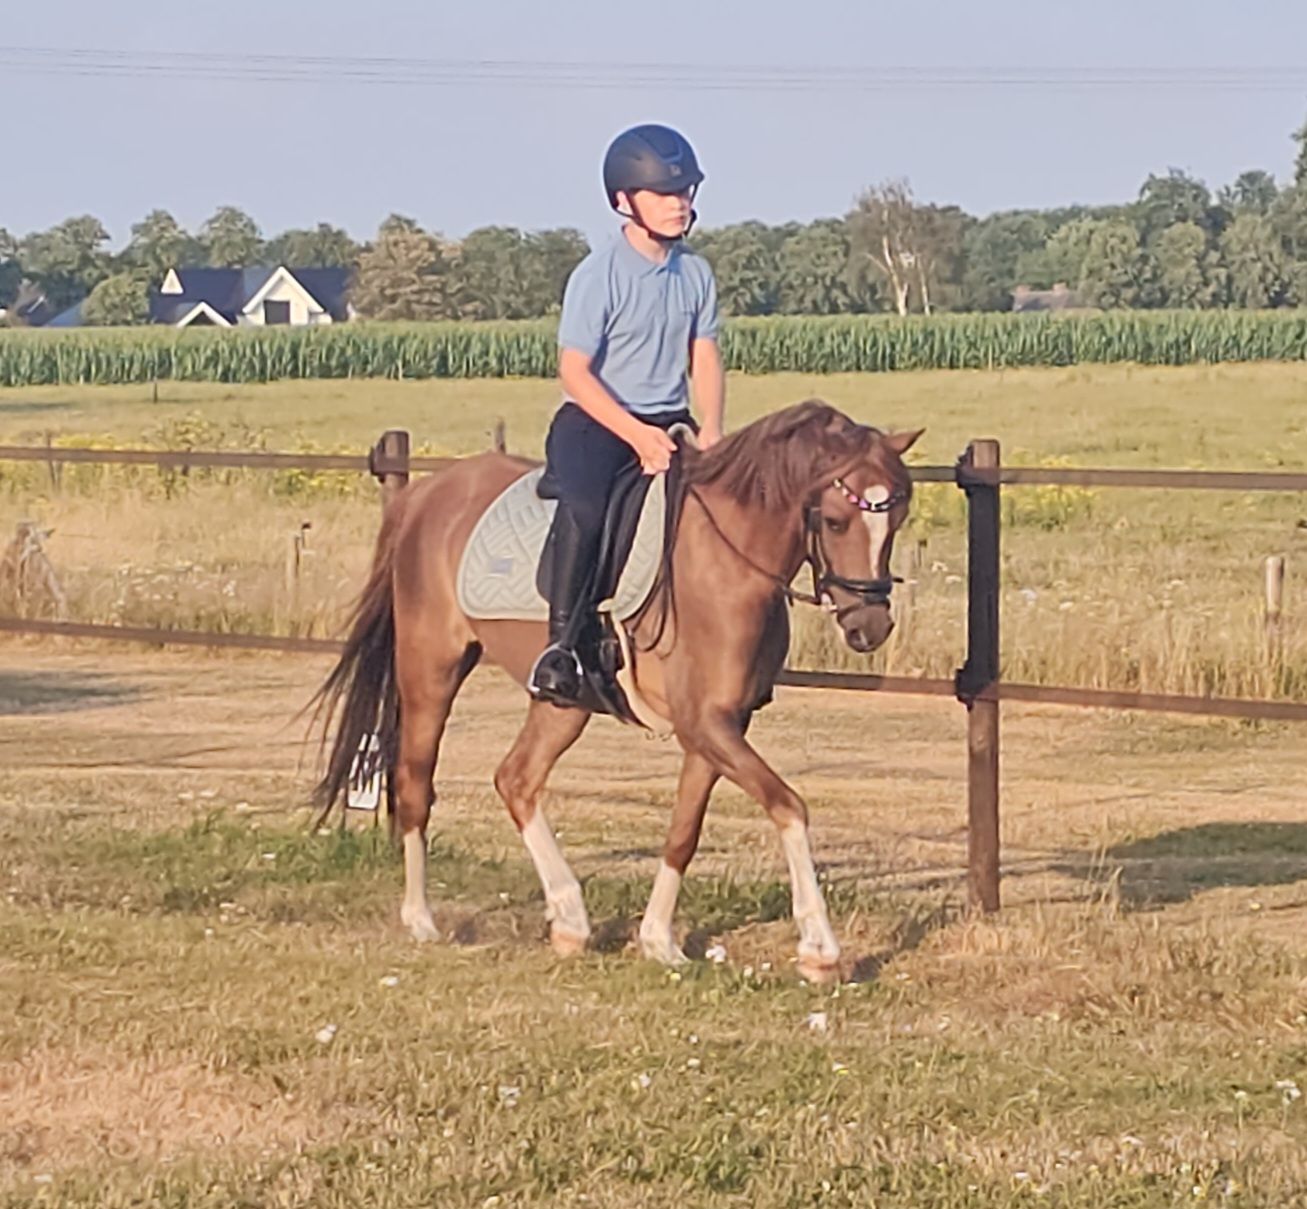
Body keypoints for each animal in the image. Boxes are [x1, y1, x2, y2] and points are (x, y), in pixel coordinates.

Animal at [314, 399, 921, 981]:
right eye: (836, 521)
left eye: (897, 520)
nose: (870, 626)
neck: (728, 561)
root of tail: (427, 493)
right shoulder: (706, 724)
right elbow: (790, 806)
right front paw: (820, 950)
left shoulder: (720, 725)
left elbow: (684, 831)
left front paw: (658, 942)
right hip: (431, 669)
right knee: (415, 782)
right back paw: (422, 920)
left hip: (562, 703)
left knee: (517, 779)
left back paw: (570, 920)